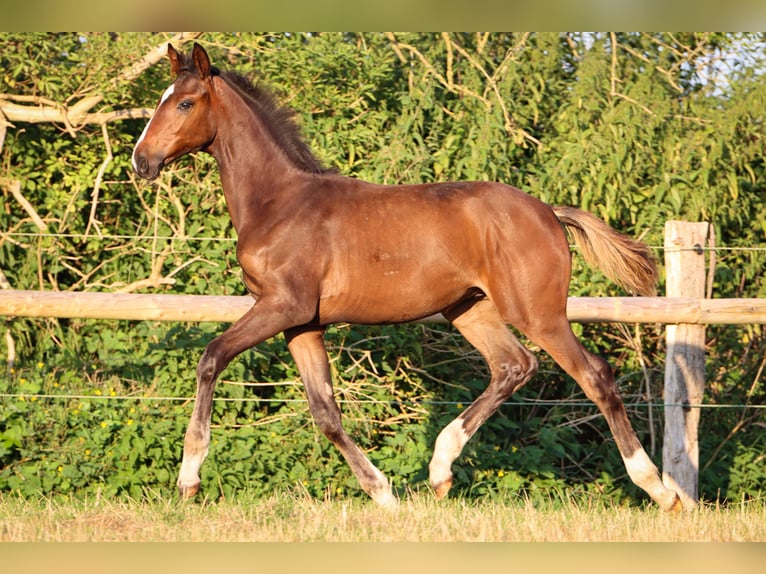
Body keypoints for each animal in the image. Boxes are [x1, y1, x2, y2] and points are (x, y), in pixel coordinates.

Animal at [132, 44, 684, 512]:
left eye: (184, 103)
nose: (142, 161)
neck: (280, 202)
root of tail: (548, 211)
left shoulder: (281, 306)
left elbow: (211, 357)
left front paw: (189, 478)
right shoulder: (302, 322)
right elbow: (325, 411)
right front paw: (383, 493)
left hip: (537, 311)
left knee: (594, 375)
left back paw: (661, 490)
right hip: (470, 309)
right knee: (514, 366)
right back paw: (440, 470)